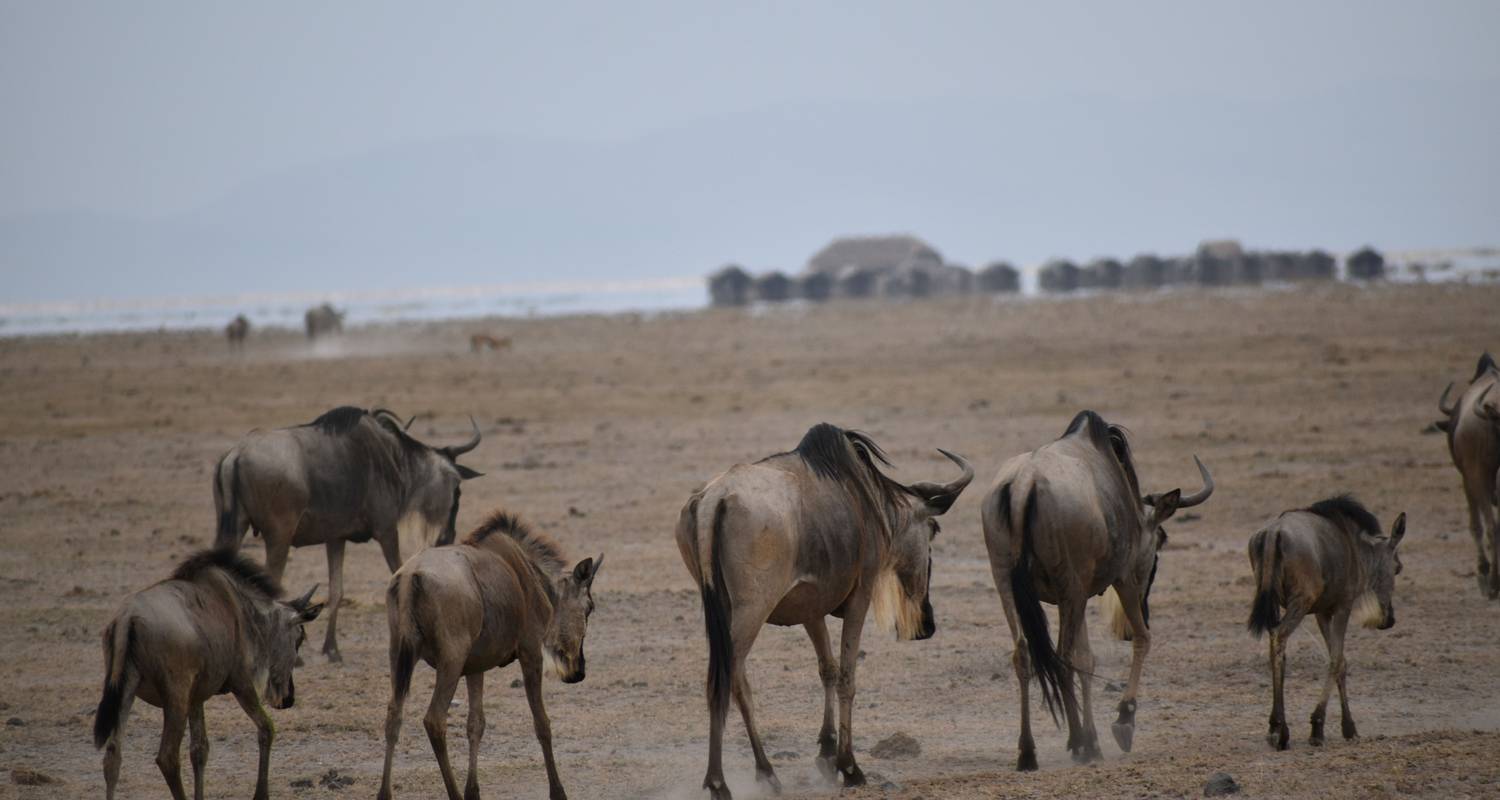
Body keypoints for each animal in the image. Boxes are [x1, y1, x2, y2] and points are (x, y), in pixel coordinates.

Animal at [93, 549, 322, 798]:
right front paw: (261, 794)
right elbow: (266, 728)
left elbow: (199, 750)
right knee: (167, 757)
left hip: (126, 691)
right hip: (175, 697)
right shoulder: (241, 683)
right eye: (299, 639)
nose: (289, 698)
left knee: (113, 757)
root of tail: (128, 617)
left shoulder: (196, 697)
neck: (240, 609)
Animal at [1242, 492, 1404, 747]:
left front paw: (1346, 727)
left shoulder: (1322, 612)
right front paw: (1320, 726)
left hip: (1273, 602)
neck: (1356, 548)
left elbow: (1341, 662)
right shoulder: (1342, 607)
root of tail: (1274, 532)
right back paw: (1280, 730)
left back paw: (1274, 726)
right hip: (1300, 602)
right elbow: (1336, 660)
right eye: (1397, 568)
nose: (1389, 620)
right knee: (1279, 636)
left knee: (1275, 645)